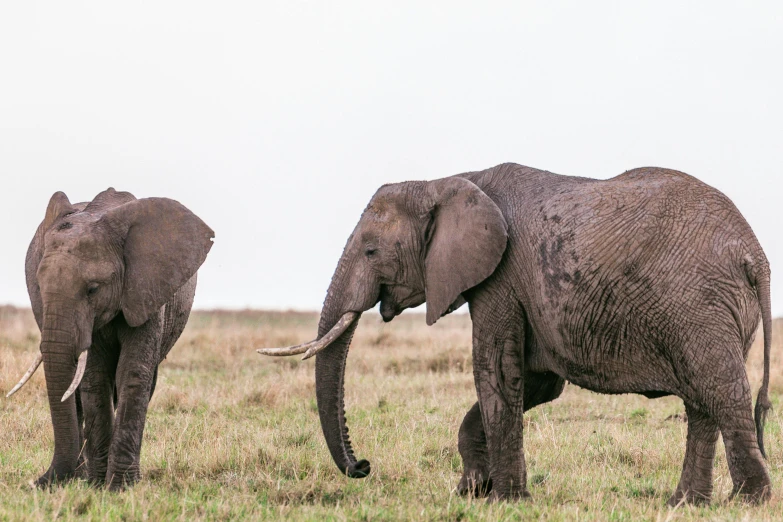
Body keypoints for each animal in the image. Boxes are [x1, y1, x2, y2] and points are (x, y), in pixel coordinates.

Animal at [7, 187, 214, 488]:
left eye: (93, 289)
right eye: (39, 288)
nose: (36, 483)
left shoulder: (145, 291)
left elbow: (132, 374)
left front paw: (120, 487)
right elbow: (93, 378)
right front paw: (96, 485)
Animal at [260, 164, 776, 504]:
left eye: (370, 250)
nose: (363, 467)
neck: (449, 180)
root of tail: (756, 256)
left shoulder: (500, 278)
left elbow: (496, 373)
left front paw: (503, 500)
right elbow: (536, 383)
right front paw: (471, 490)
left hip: (702, 305)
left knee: (722, 391)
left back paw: (748, 502)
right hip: (713, 310)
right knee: (701, 402)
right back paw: (685, 504)